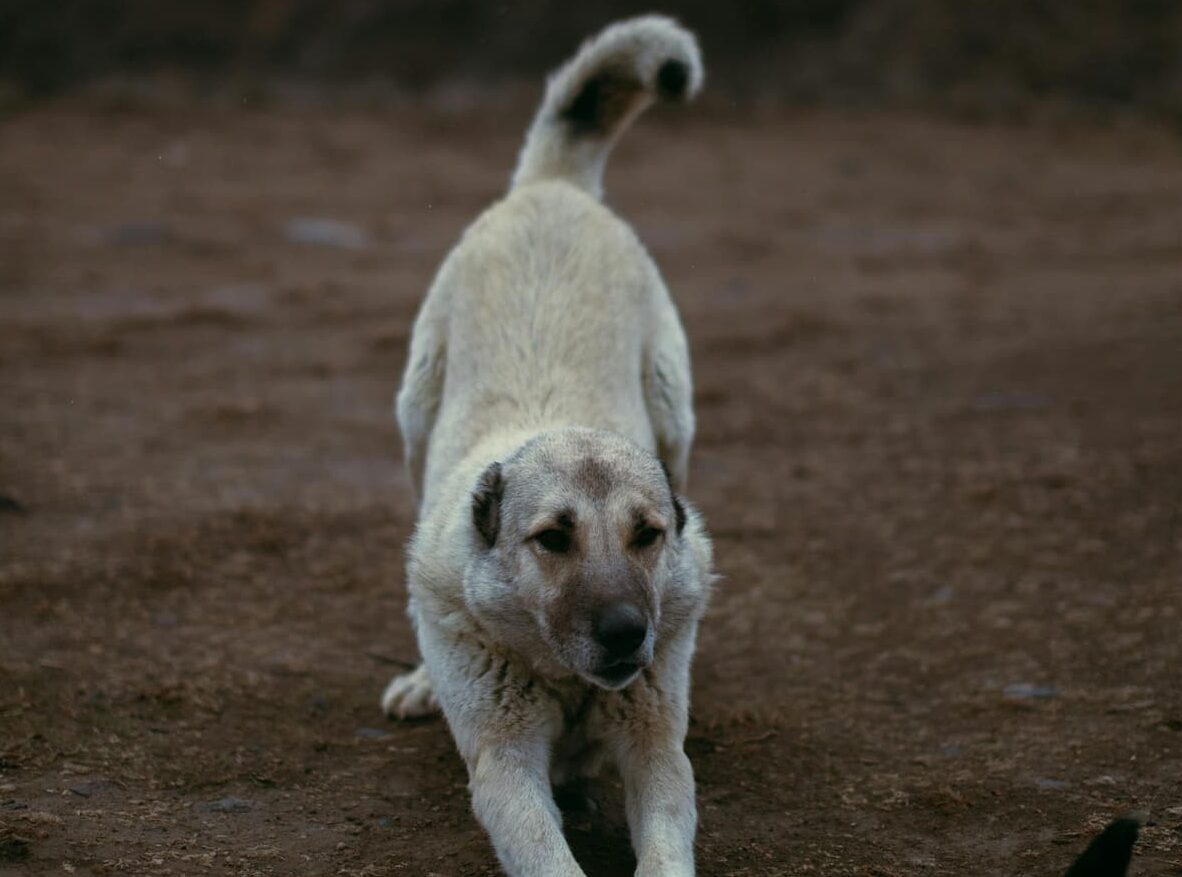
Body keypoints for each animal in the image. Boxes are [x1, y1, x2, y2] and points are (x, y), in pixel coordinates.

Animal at [382, 15, 713, 877]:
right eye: (552, 538)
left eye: (647, 534)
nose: (629, 632)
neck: (565, 680)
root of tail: (553, 188)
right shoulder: (503, 765)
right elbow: (546, 852)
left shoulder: (657, 750)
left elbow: (664, 846)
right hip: (413, 423)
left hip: (676, 416)